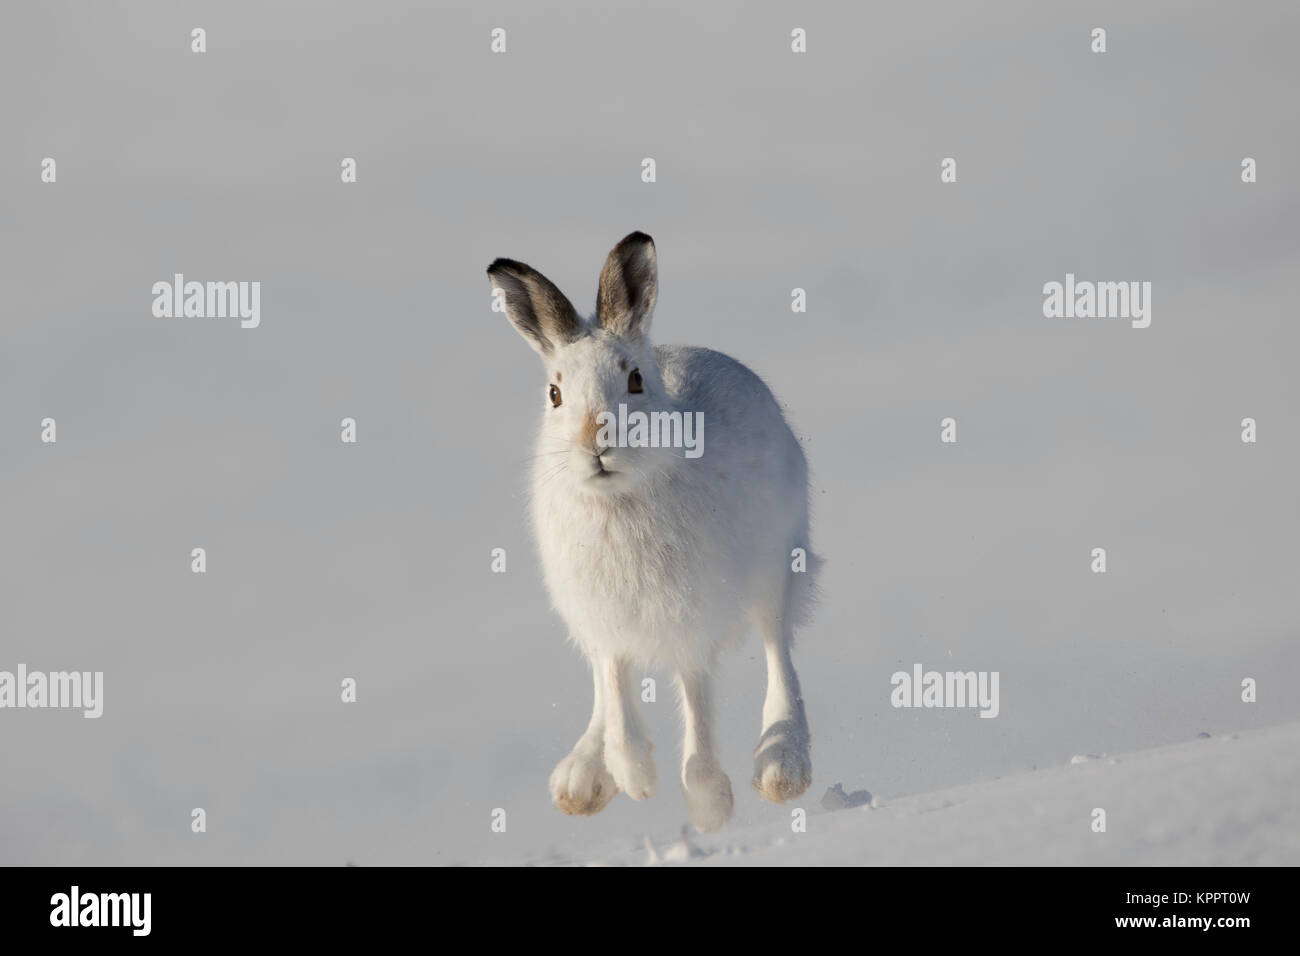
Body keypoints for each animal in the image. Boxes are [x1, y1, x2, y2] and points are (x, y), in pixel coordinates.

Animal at [487, 231, 820, 834]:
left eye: (635, 380)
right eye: (554, 394)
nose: (596, 443)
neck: (618, 499)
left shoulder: (691, 617)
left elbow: (696, 694)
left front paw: (708, 805)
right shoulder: (604, 620)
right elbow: (616, 689)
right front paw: (635, 777)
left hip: (776, 568)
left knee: (777, 648)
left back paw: (782, 766)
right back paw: (581, 781)